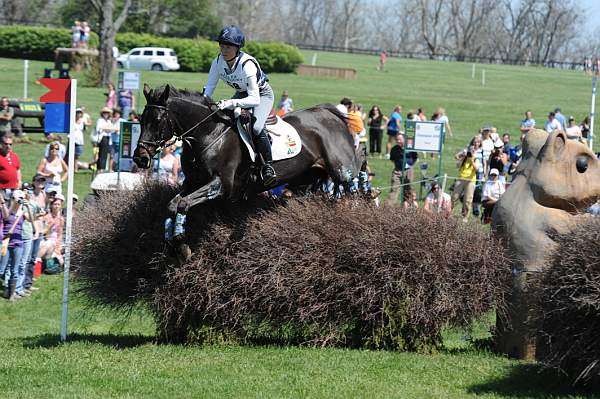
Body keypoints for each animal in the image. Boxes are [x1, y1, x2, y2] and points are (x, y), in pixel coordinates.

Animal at [133, 85, 360, 256]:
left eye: (157, 121)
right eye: (141, 120)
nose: (140, 157)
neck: (208, 134)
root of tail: (329, 113)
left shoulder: (221, 185)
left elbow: (183, 203)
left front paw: (180, 242)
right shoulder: (193, 182)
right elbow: (173, 204)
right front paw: (173, 243)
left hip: (343, 172)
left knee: (353, 193)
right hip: (304, 178)